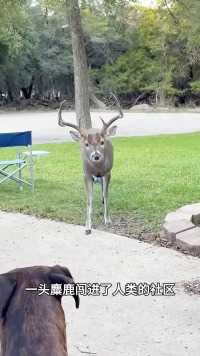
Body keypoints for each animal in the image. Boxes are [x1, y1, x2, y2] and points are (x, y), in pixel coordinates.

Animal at [58, 93, 123, 235]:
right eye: (86, 144)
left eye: (102, 142)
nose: (96, 155)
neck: (97, 169)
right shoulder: (86, 174)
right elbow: (89, 199)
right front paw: (87, 226)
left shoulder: (108, 173)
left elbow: (106, 194)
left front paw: (107, 219)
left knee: (103, 193)